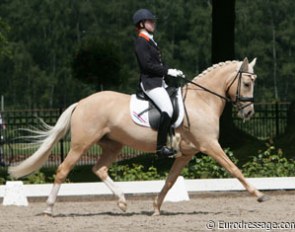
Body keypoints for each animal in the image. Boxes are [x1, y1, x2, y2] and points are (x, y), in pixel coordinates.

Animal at [9, 56, 270, 216]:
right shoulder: (210, 145)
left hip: (112, 145)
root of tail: (81, 103)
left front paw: (155, 207)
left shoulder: (186, 154)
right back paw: (49, 208)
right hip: (81, 145)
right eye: (247, 83)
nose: (248, 113)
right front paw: (259, 195)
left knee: (99, 169)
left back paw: (123, 201)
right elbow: (234, 169)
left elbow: (170, 181)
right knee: (63, 170)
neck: (201, 101)